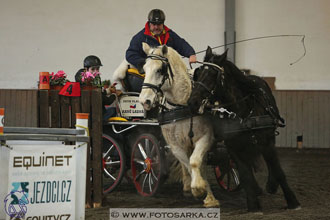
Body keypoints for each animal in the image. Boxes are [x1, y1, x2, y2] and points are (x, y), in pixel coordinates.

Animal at [139, 42, 219, 208]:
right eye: (144, 69)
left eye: (159, 70)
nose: (144, 101)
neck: (181, 104)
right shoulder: (175, 146)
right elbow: (188, 164)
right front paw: (197, 188)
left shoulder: (206, 138)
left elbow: (195, 162)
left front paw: (207, 195)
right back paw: (188, 186)